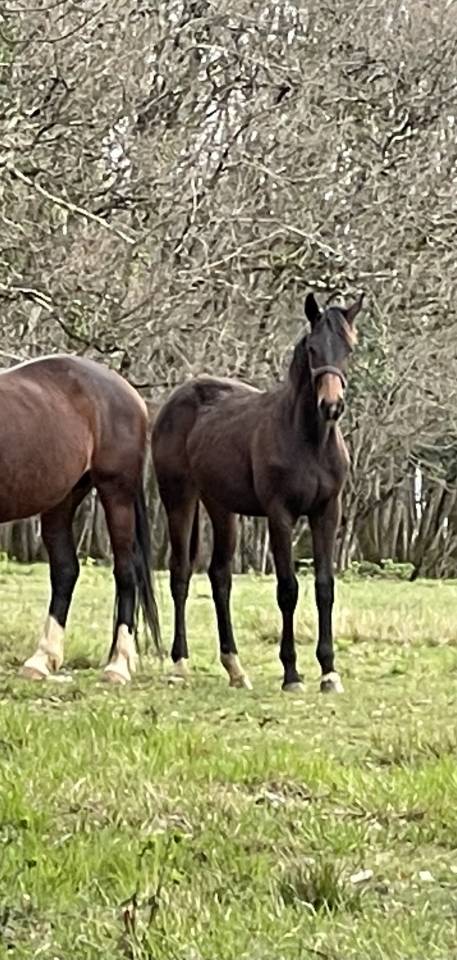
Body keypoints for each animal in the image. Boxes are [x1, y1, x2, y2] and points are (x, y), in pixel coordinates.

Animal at [0, 355, 160, 683]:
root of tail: (128, 391)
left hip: (116, 493)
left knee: (126, 572)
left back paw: (118, 666)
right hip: (61, 500)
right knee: (65, 571)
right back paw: (41, 660)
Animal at [152, 291, 363, 694]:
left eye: (349, 347)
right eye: (312, 349)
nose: (331, 406)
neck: (310, 440)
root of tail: (177, 398)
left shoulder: (327, 512)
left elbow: (324, 587)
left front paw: (329, 672)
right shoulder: (280, 515)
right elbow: (288, 589)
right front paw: (292, 674)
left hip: (221, 507)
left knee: (220, 577)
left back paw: (235, 668)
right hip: (179, 499)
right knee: (180, 573)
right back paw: (180, 664)